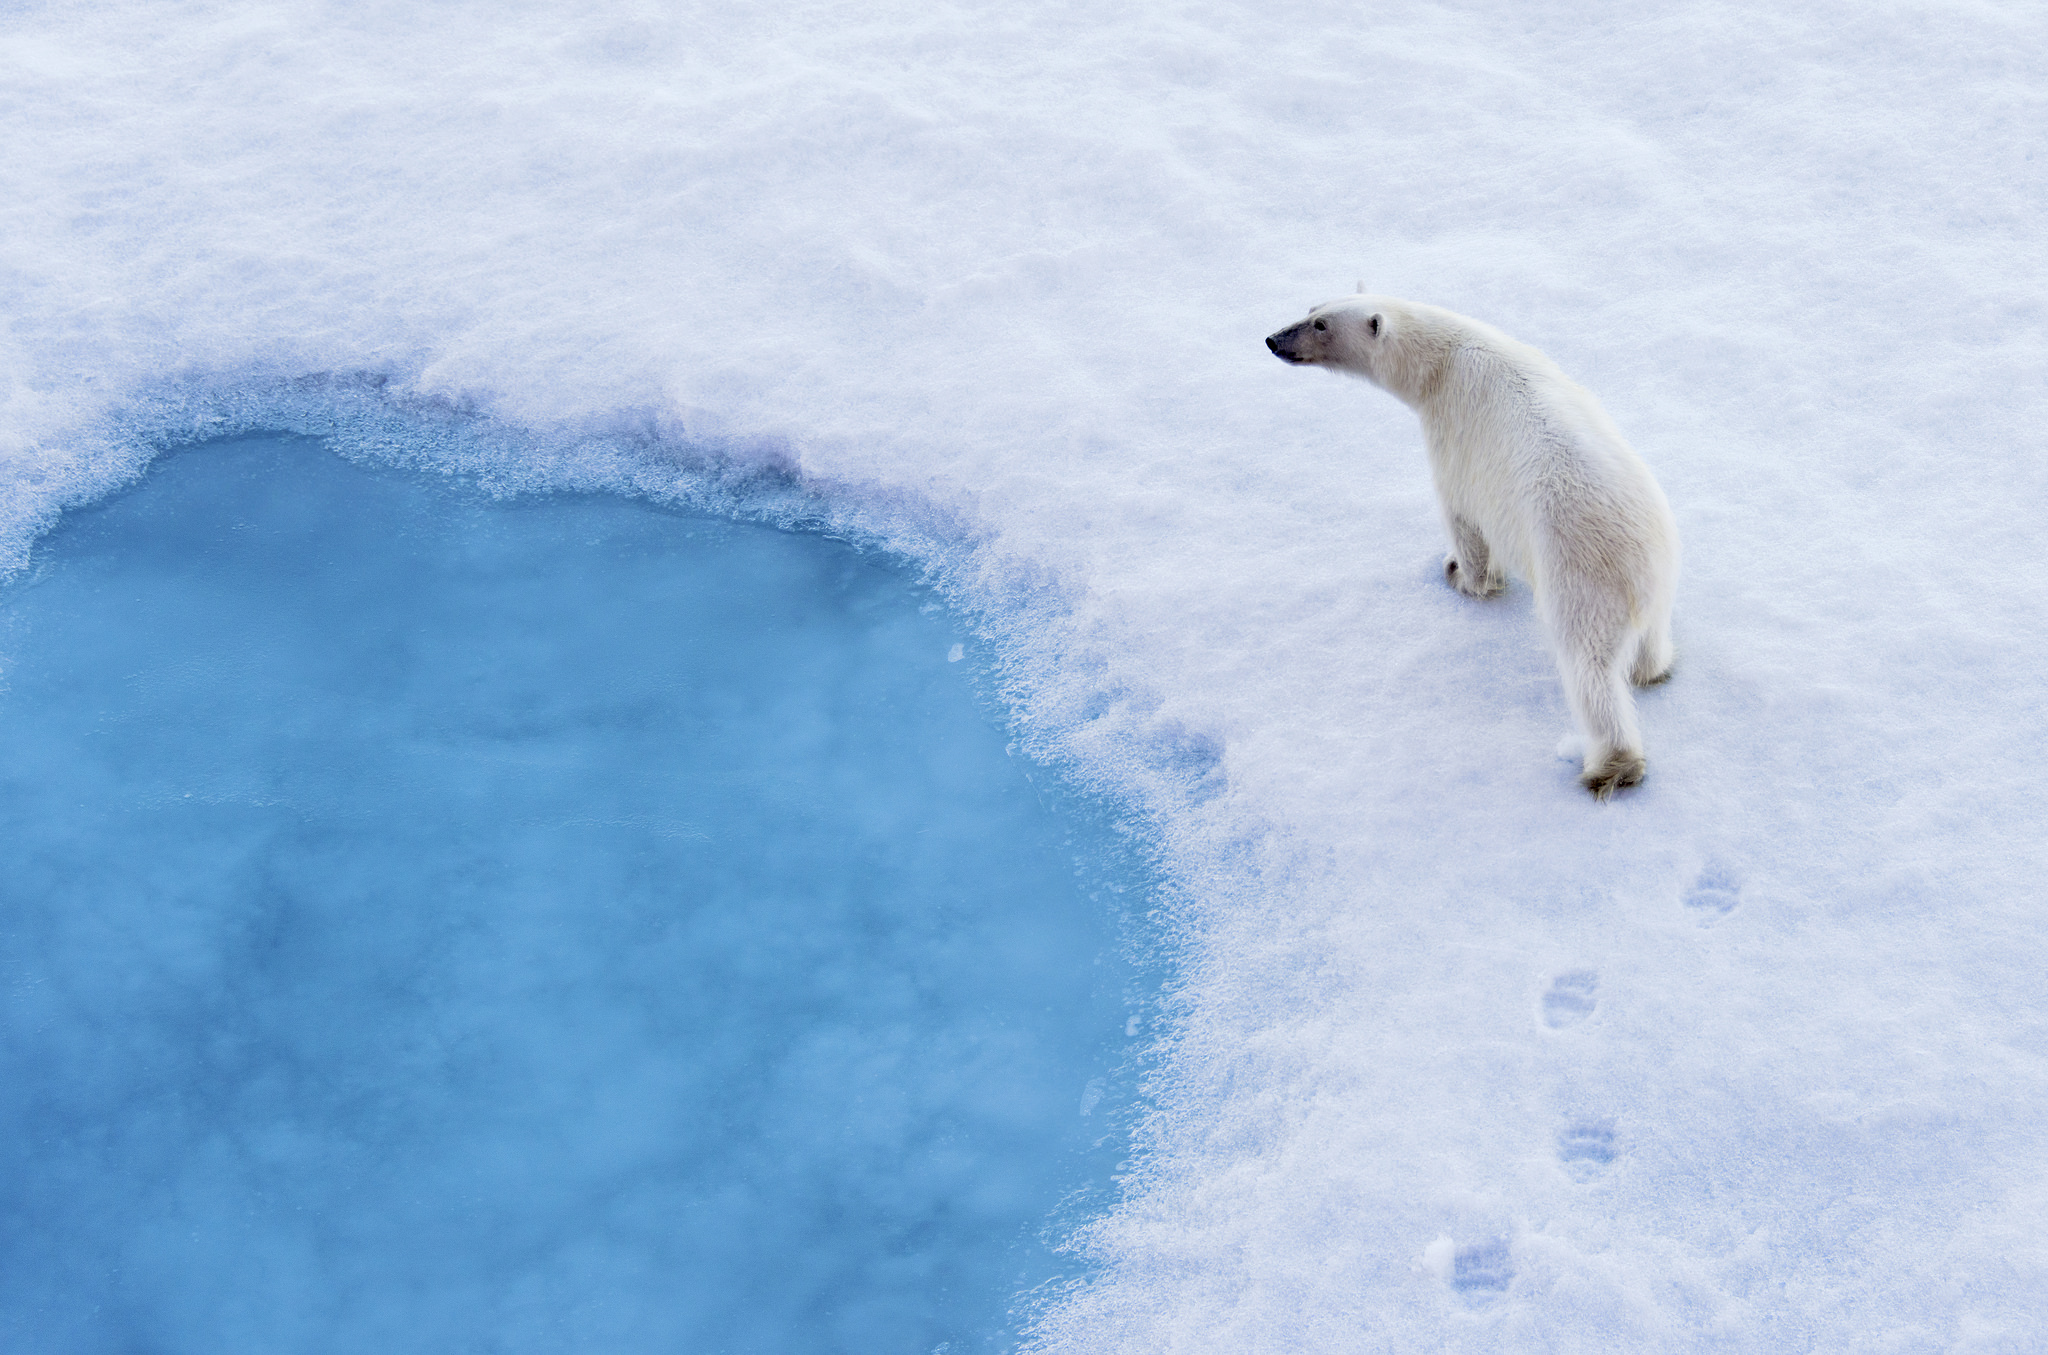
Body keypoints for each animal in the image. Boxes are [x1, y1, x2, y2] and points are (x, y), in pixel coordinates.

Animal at [1261, 296, 1679, 798]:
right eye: (1312, 308)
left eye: (1321, 325)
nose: (1273, 340)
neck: (1444, 359)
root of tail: (1640, 564)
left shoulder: (1454, 434)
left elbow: (1462, 515)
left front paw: (1460, 574)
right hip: (1659, 572)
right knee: (1650, 636)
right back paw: (1651, 671)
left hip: (1579, 578)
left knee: (1588, 668)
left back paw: (1610, 767)